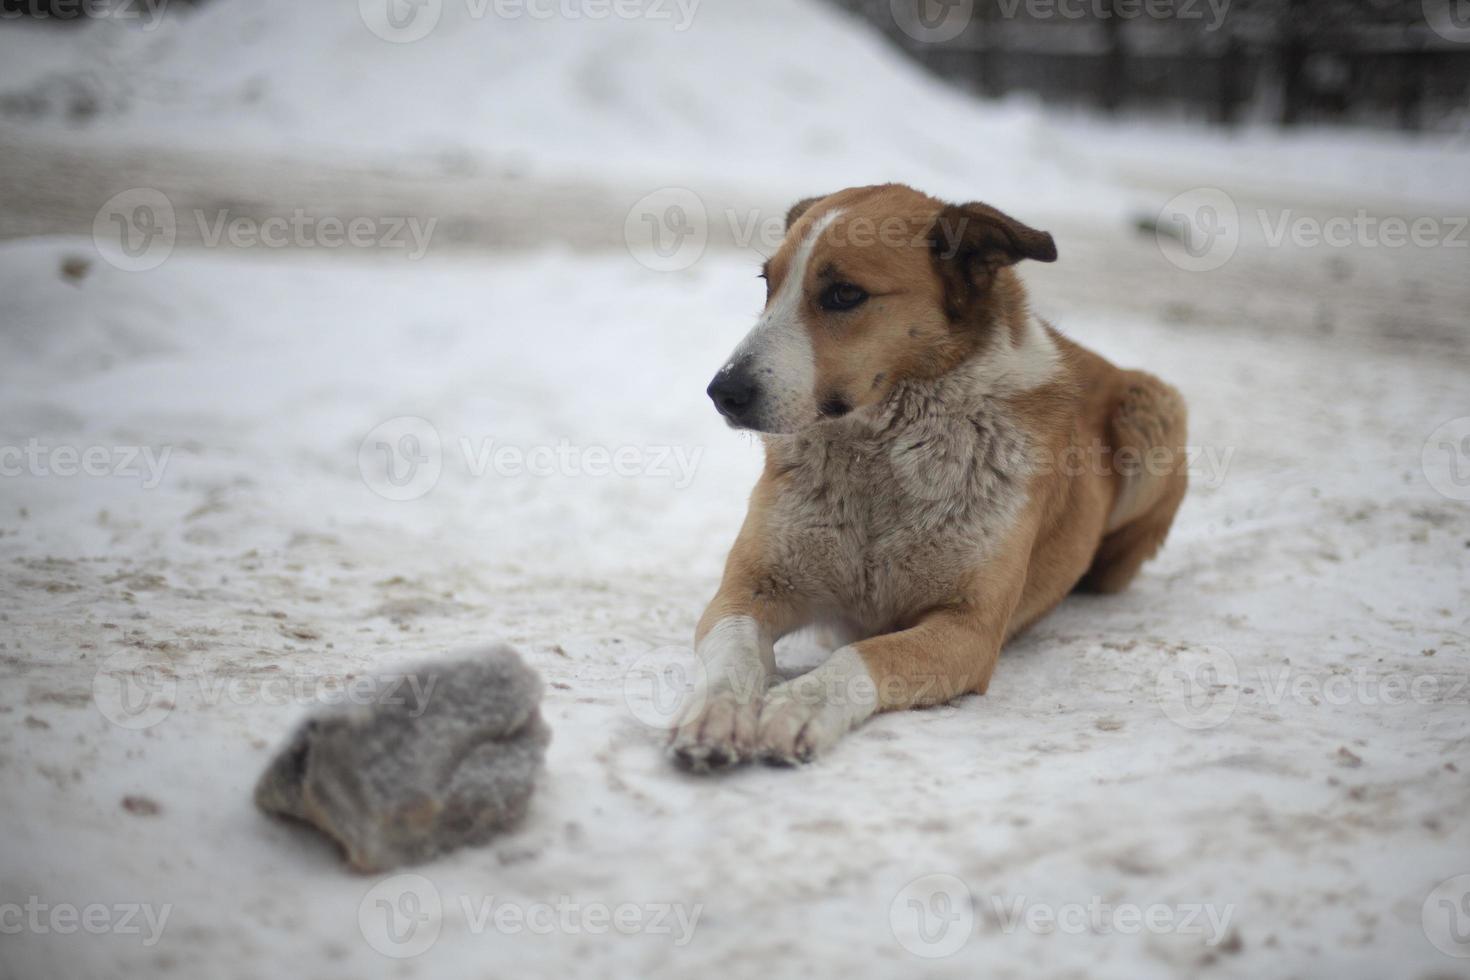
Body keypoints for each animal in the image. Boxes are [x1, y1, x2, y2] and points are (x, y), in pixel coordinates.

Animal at [673, 179, 1187, 769]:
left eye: (844, 294)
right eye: (767, 285)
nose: (722, 393)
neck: (876, 460)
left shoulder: (969, 630)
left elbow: (864, 655)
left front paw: (797, 707)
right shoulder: (750, 587)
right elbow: (732, 650)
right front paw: (716, 713)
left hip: (1156, 406)